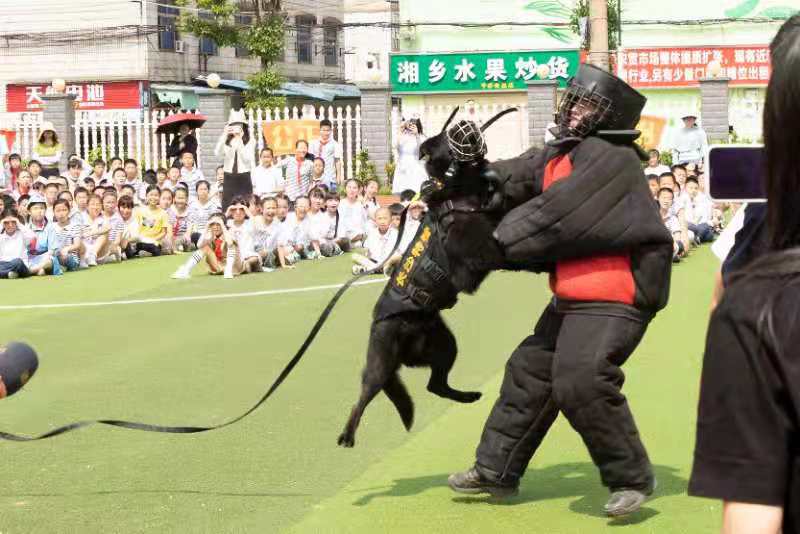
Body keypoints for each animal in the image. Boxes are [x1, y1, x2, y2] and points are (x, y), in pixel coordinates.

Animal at [337, 108, 522, 447]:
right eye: (449, 137)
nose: (470, 122)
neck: (456, 188)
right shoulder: (477, 258)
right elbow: (501, 245)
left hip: (445, 345)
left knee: (435, 385)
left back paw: (466, 396)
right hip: (381, 365)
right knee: (363, 398)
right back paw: (347, 435)